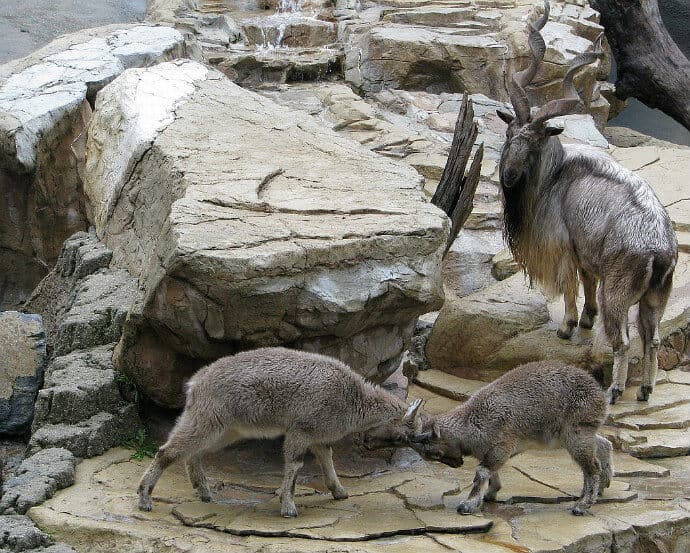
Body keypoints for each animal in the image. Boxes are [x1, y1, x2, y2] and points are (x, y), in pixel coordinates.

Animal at [137, 348, 422, 516]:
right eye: (402, 436)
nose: (369, 446)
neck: (353, 398)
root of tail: (196, 382)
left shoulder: (318, 435)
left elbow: (327, 460)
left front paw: (339, 492)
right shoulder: (300, 431)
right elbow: (294, 466)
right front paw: (288, 507)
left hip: (225, 429)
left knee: (193, 453)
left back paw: (204, 491)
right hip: (207, 418)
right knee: (167, 451)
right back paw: (145, 498)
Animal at [366, 362, 612, 512]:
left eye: (434, 452)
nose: (457, 464)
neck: (472, 423)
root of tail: (600, 395)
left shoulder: (502, 445)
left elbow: (482, 472)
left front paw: (468, 504)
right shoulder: (492, 451)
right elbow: (491, 472)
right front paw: (491, 494)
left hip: (575, 434)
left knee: (591, 466)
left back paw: (583, 504)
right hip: (573, 434)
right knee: (603, 444)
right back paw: (601, 486)